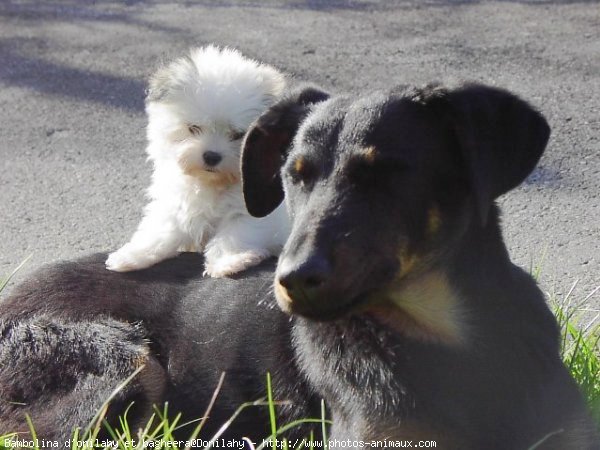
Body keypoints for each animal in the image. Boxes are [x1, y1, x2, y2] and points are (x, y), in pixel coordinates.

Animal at [106, 45, 290, 278]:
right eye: (193, 128)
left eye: (238, 135)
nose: (211, 156)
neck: (213, 184)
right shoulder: (175, 201)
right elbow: (159, 229)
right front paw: (133, 255)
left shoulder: (254, 209)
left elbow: (236, 232)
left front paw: (230, 261)